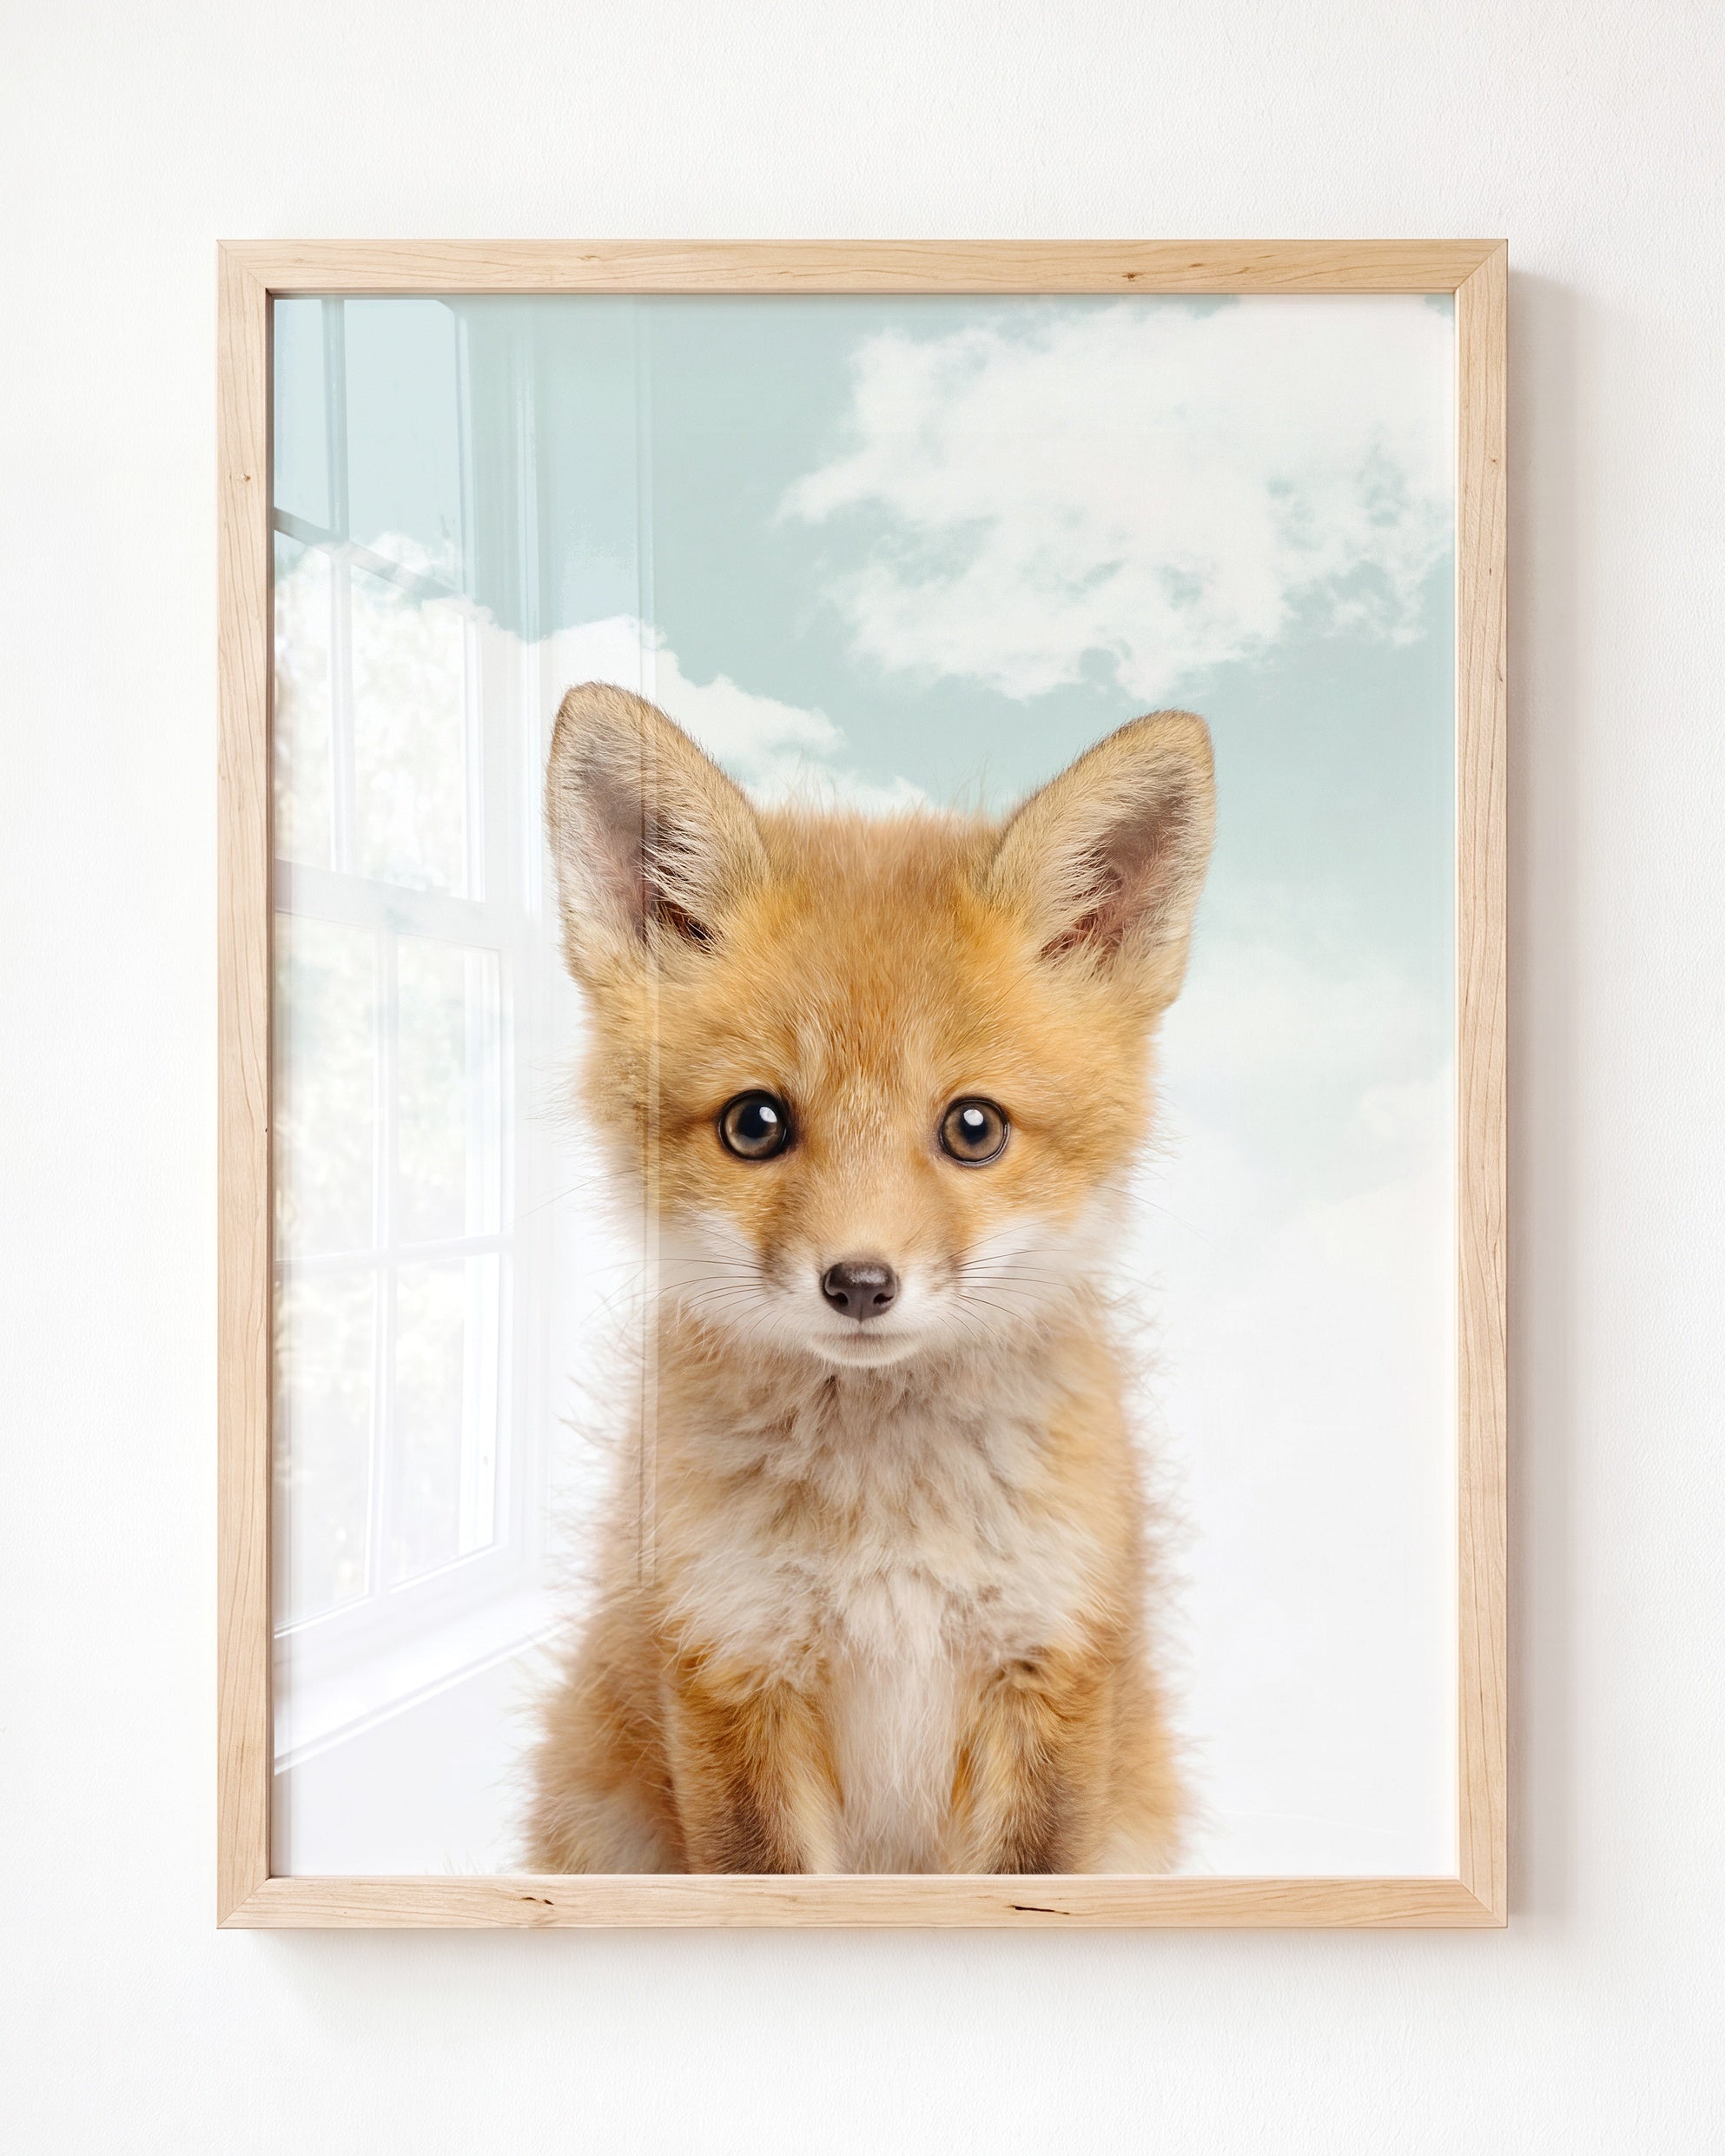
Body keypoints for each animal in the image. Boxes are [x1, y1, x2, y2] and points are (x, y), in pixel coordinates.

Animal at [523, 682, 1215, 1875]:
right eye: (755, 1123)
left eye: (974, 1128)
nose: (857, 1283)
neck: (888, 1532)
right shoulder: (731, 1662)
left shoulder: (1050, 1666)